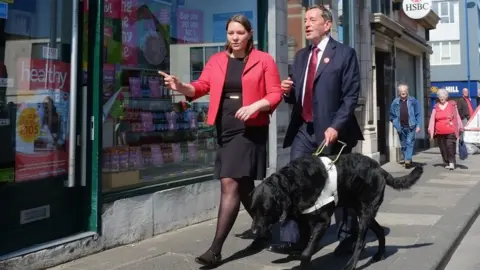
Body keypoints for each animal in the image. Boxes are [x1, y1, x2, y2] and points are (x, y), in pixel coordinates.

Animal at [249, 153, 422, 268]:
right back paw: (379, 254)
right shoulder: (303, 220)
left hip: (366, 213)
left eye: (266, 211)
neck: (293, 183)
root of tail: (380, 169)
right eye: (252, 211)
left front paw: (303, 261)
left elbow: (307, 251)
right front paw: (291, 252)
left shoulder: (323, 222)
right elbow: (303, 243)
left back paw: (351, 265)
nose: (254, 232)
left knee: (360, 242)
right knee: (379, 230)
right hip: (361, 210)